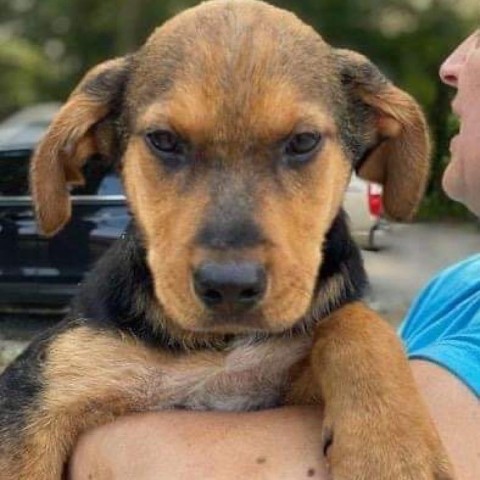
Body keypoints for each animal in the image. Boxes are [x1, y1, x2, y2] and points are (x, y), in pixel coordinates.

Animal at [0, 1, 454, 478]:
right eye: (163, 141)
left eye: (303, 141)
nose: (230, 287)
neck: (223, 346)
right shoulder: (44, 384)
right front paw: (391, 450)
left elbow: (356, 320)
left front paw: (392, 450)